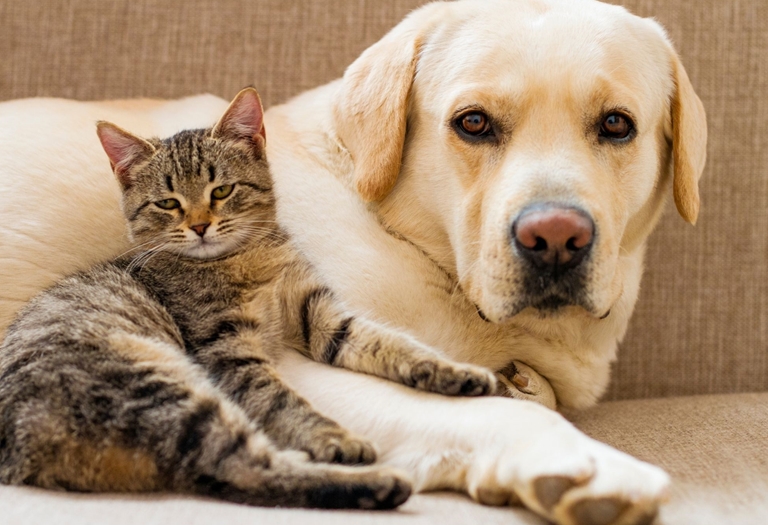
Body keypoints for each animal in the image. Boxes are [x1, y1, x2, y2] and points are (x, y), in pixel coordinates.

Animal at [0, 87, 496, 508]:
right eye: (168, 203)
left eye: (221, 190)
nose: (200, 225)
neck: (247, 261)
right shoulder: (228, 352)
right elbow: (281, 400)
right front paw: (330, 436)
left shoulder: (322, 315)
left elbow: (393, 344)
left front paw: (456, 373)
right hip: (164, 386)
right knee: (242, 468)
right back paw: (377, 481)